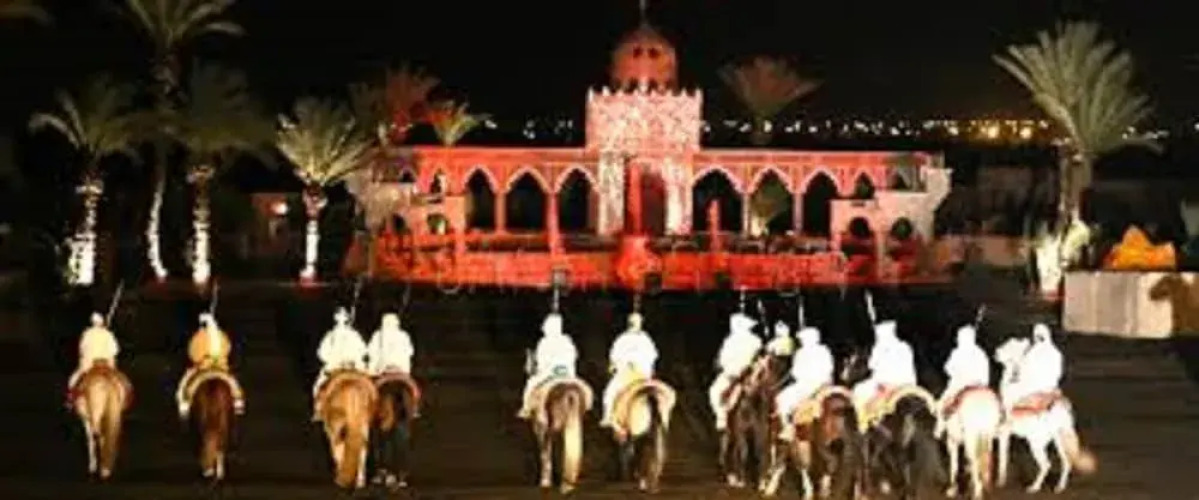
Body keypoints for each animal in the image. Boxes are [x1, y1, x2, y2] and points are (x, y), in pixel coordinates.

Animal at [719, 354, 778, 491]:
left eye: (763, 371)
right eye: (752, 369)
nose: (748, 386)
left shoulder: (760, 434)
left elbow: (759, 454)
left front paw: (761, 483)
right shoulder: (741, 432)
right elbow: (743, 454)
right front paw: (741, 481)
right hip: (729, 434)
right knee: (726, 453)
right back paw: (731, 478)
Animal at [842, 350, 945, 500]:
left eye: (853, 363)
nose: (844, 376)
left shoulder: (868, 436)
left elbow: (868, 457)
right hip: (903, 442)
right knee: (905, 463)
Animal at [994, 338, 1097, 494]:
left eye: (1007, 347)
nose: (995, 352)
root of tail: (1059, 410)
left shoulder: (1003, 432)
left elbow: (1002, 459)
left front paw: (1000, 481)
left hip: (1036, 443)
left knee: (1046, 465)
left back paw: (1034, 487)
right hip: (1059, 441)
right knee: (1066, 462)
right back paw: (1059, 487)